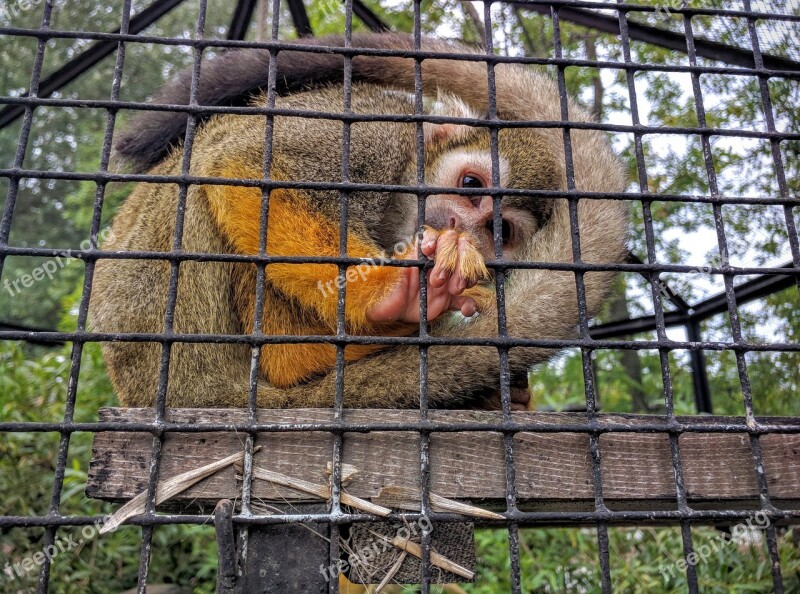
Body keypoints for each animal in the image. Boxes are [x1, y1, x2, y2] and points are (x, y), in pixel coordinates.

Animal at [90, 32, 628, 410]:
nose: (459, 226)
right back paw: (295, 359)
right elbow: (248, 162)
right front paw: (386, 299)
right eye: (471, 186)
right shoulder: (375, 135)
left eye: (499, 232)